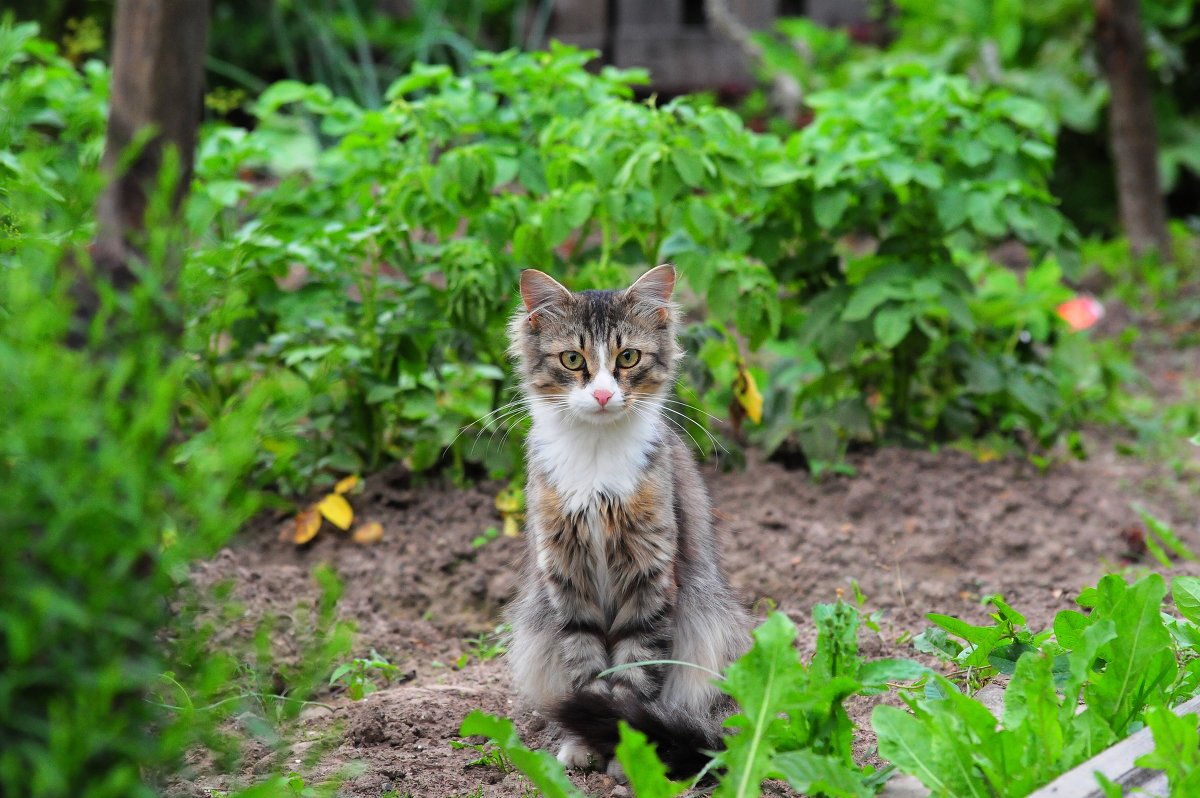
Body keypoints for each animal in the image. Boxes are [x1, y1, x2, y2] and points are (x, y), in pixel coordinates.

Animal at [499, 262, 744, 777]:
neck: (595, 461)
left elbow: (634, 673)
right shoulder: (568, 581)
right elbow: (588, 673)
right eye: (573, 360)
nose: (603, 394)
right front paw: (588, 743)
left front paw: (628, 749)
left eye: (627, 357)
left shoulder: (650, 575)